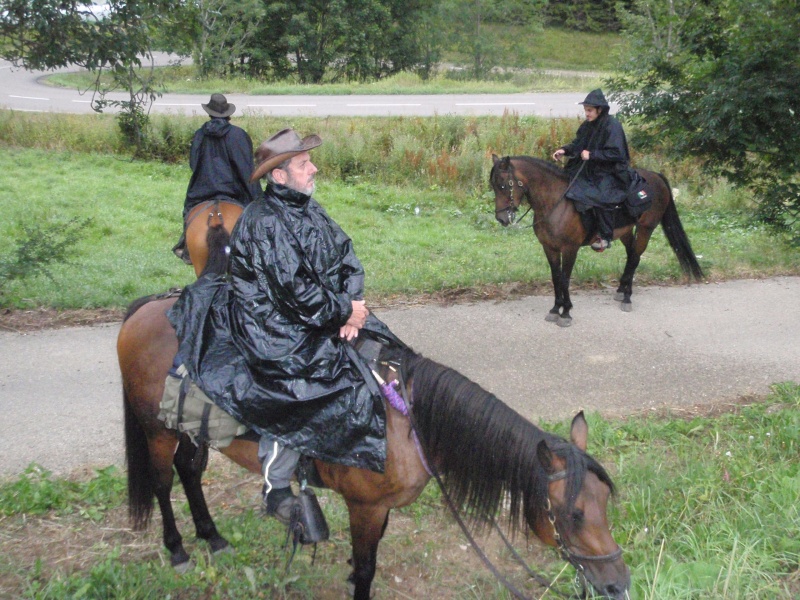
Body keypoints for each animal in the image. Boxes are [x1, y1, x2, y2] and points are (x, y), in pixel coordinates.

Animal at [119, 294, 632, 596]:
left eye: (606, 503)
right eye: (573, 515)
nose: (619, 584)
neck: (409, 425)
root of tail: (144, 310)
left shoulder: (380, 509)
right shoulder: (363, 506)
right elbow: (367, 568)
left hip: (191, 432)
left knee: (190, 471)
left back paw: (213, 538)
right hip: (157, 431)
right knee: (163, 482)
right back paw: (179, 550)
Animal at [490, 152, 704, 326]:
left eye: (503, 185)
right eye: (493, 186)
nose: (502, 219)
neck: (555, 203)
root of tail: (656, 176)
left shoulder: (570, 248)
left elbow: (565, 279)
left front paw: (566, 312)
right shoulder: (549, 248)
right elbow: (555, 277)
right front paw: (555, 309)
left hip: (646, 228)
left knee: (635, 258)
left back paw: (627, 298)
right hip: (626, 231)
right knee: (630, 255)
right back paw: (621, 290)